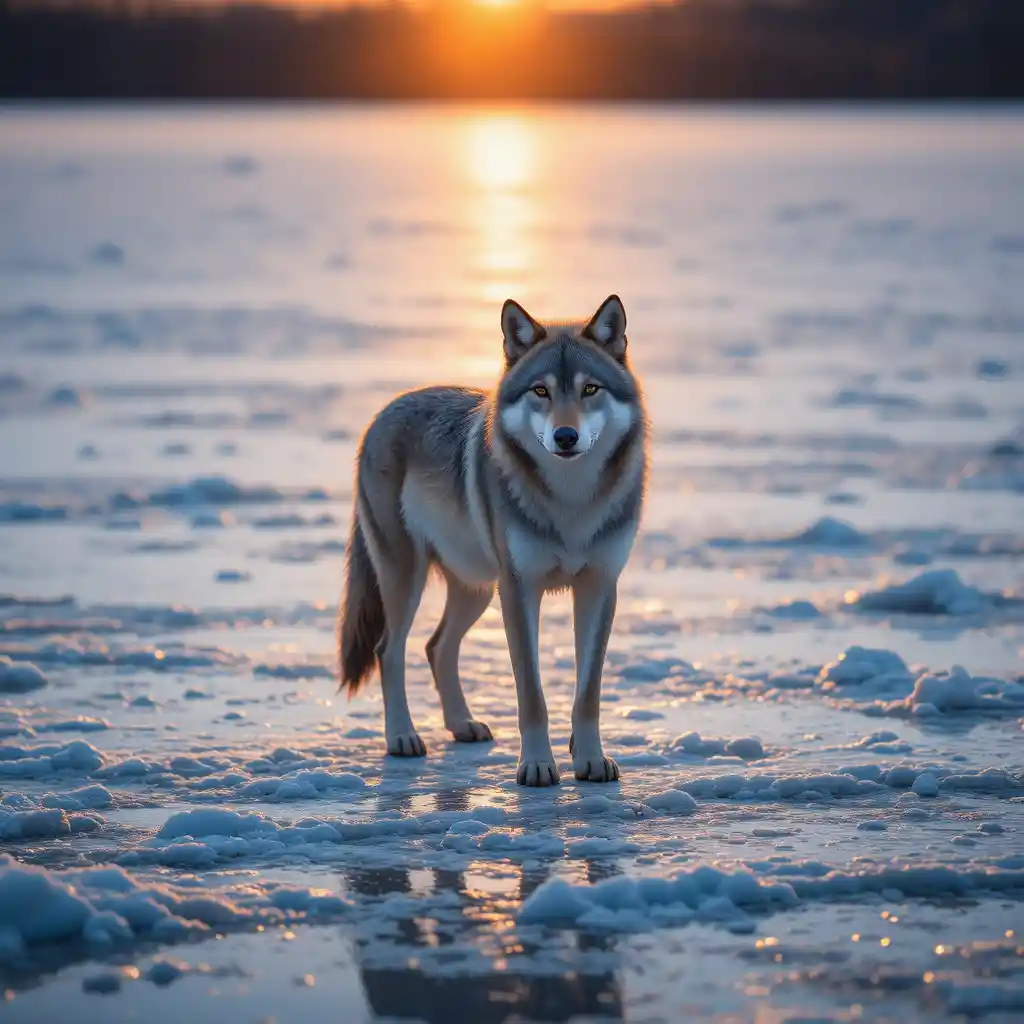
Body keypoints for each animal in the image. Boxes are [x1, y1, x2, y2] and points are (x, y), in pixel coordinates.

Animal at [337, 295, 648, 786]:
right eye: (540, 391)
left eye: (590, 390)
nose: (565, 436)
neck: (572, 501)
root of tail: (384, 412)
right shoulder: (519, 590)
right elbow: (532, 695)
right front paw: (537, 767)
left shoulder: (599, 587)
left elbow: (588, 692)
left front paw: (591, 760)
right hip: (409, 579)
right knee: (391, 649)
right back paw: (402, 737)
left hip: (477, 589)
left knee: (436, 646)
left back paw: (462, 724)